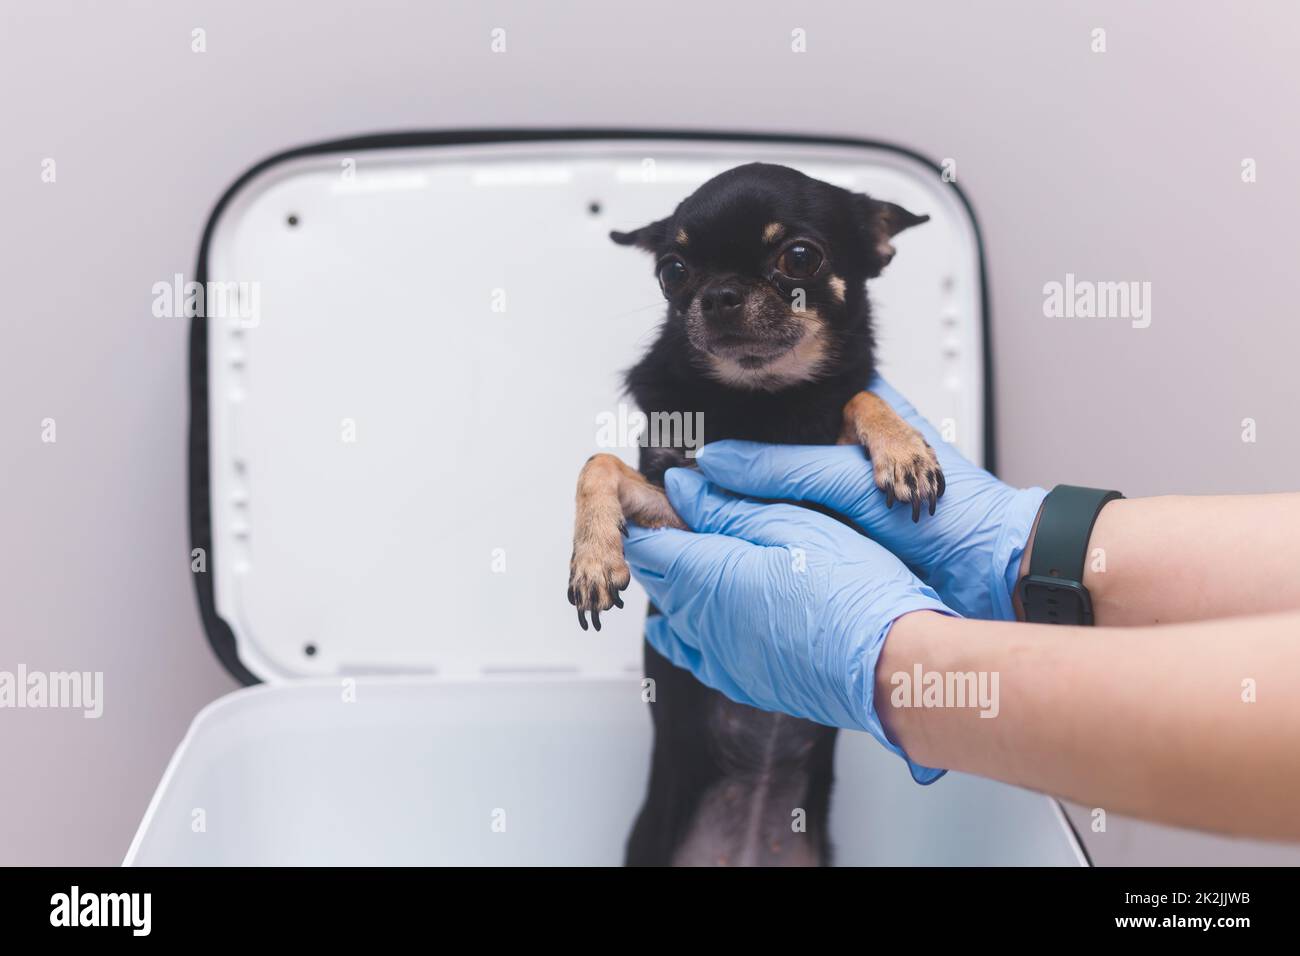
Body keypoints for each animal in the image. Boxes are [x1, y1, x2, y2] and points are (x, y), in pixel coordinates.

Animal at [569, 162, 946, 868]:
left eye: (799, 257)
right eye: (672, 271)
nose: (717, 294)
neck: (762, 403)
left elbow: (856, 396)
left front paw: (904, 447)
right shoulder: (677, 504)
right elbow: (598, 461)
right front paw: (594, 558)